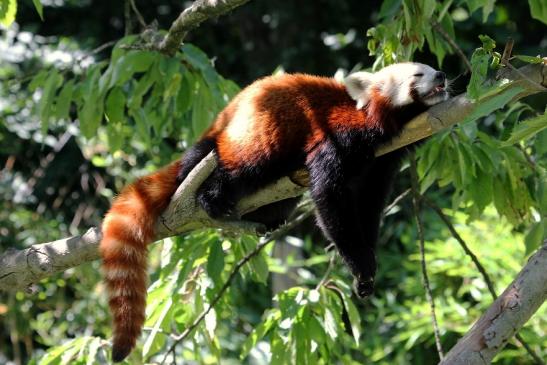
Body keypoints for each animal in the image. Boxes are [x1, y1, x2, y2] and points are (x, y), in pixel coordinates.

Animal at [101, 61, 450, 360]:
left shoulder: (383, 160)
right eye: (418, 74)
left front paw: (367, 267)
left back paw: (267, 218)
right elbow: (330, 197)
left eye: (432, 68)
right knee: (235, 167)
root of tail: (220, 123)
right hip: (252, 141)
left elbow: (369, 204)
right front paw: (360, 263)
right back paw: (211, 196)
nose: (442, 75)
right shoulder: (340, 135)